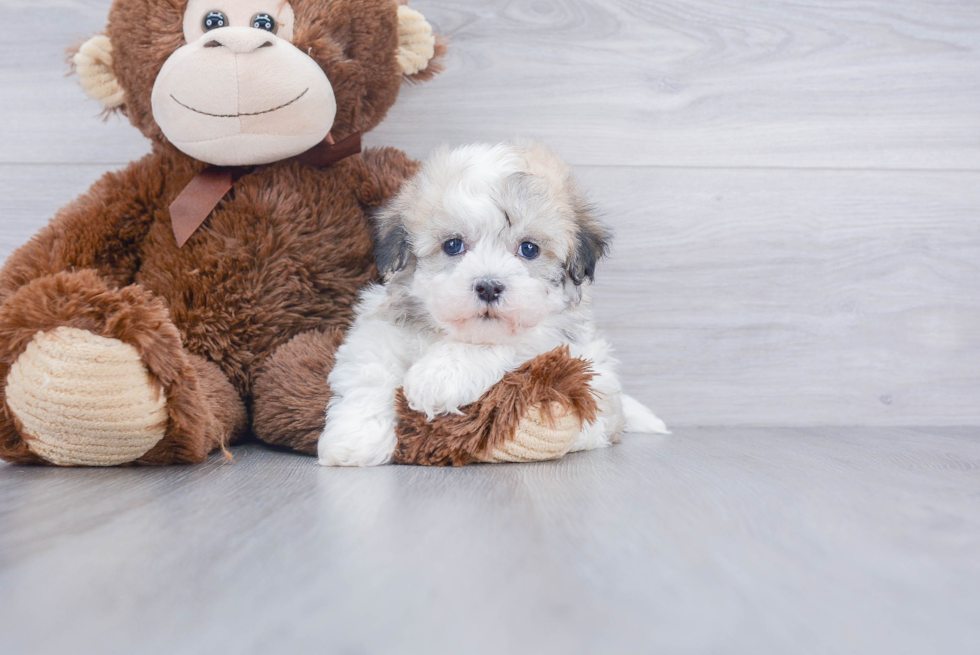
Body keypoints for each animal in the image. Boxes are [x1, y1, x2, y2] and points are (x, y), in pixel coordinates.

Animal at [320, 140, 668, 466]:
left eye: (529, 249)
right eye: (453, 245)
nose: (488, 287)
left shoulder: (551, 338)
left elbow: (495, 345)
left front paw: (439, 376)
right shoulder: (379, 330)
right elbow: (369, 371)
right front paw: (354, 440)